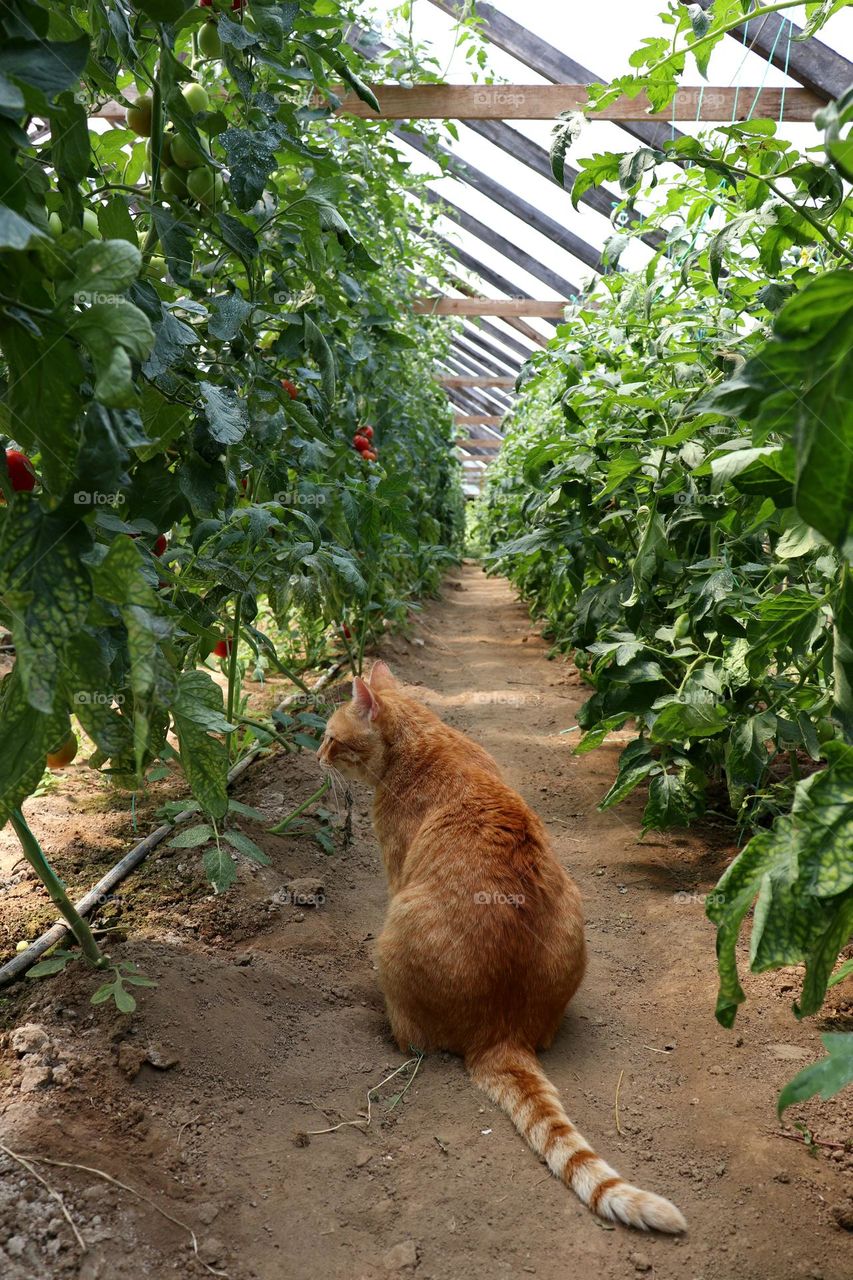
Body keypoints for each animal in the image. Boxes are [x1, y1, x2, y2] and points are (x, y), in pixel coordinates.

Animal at [318, 660, 686, 1228]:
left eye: (332, 738)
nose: (316, 756)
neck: (424, 740)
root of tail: (502, 1031)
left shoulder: (396, 872)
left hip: (394, 932)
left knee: (411, 1042)